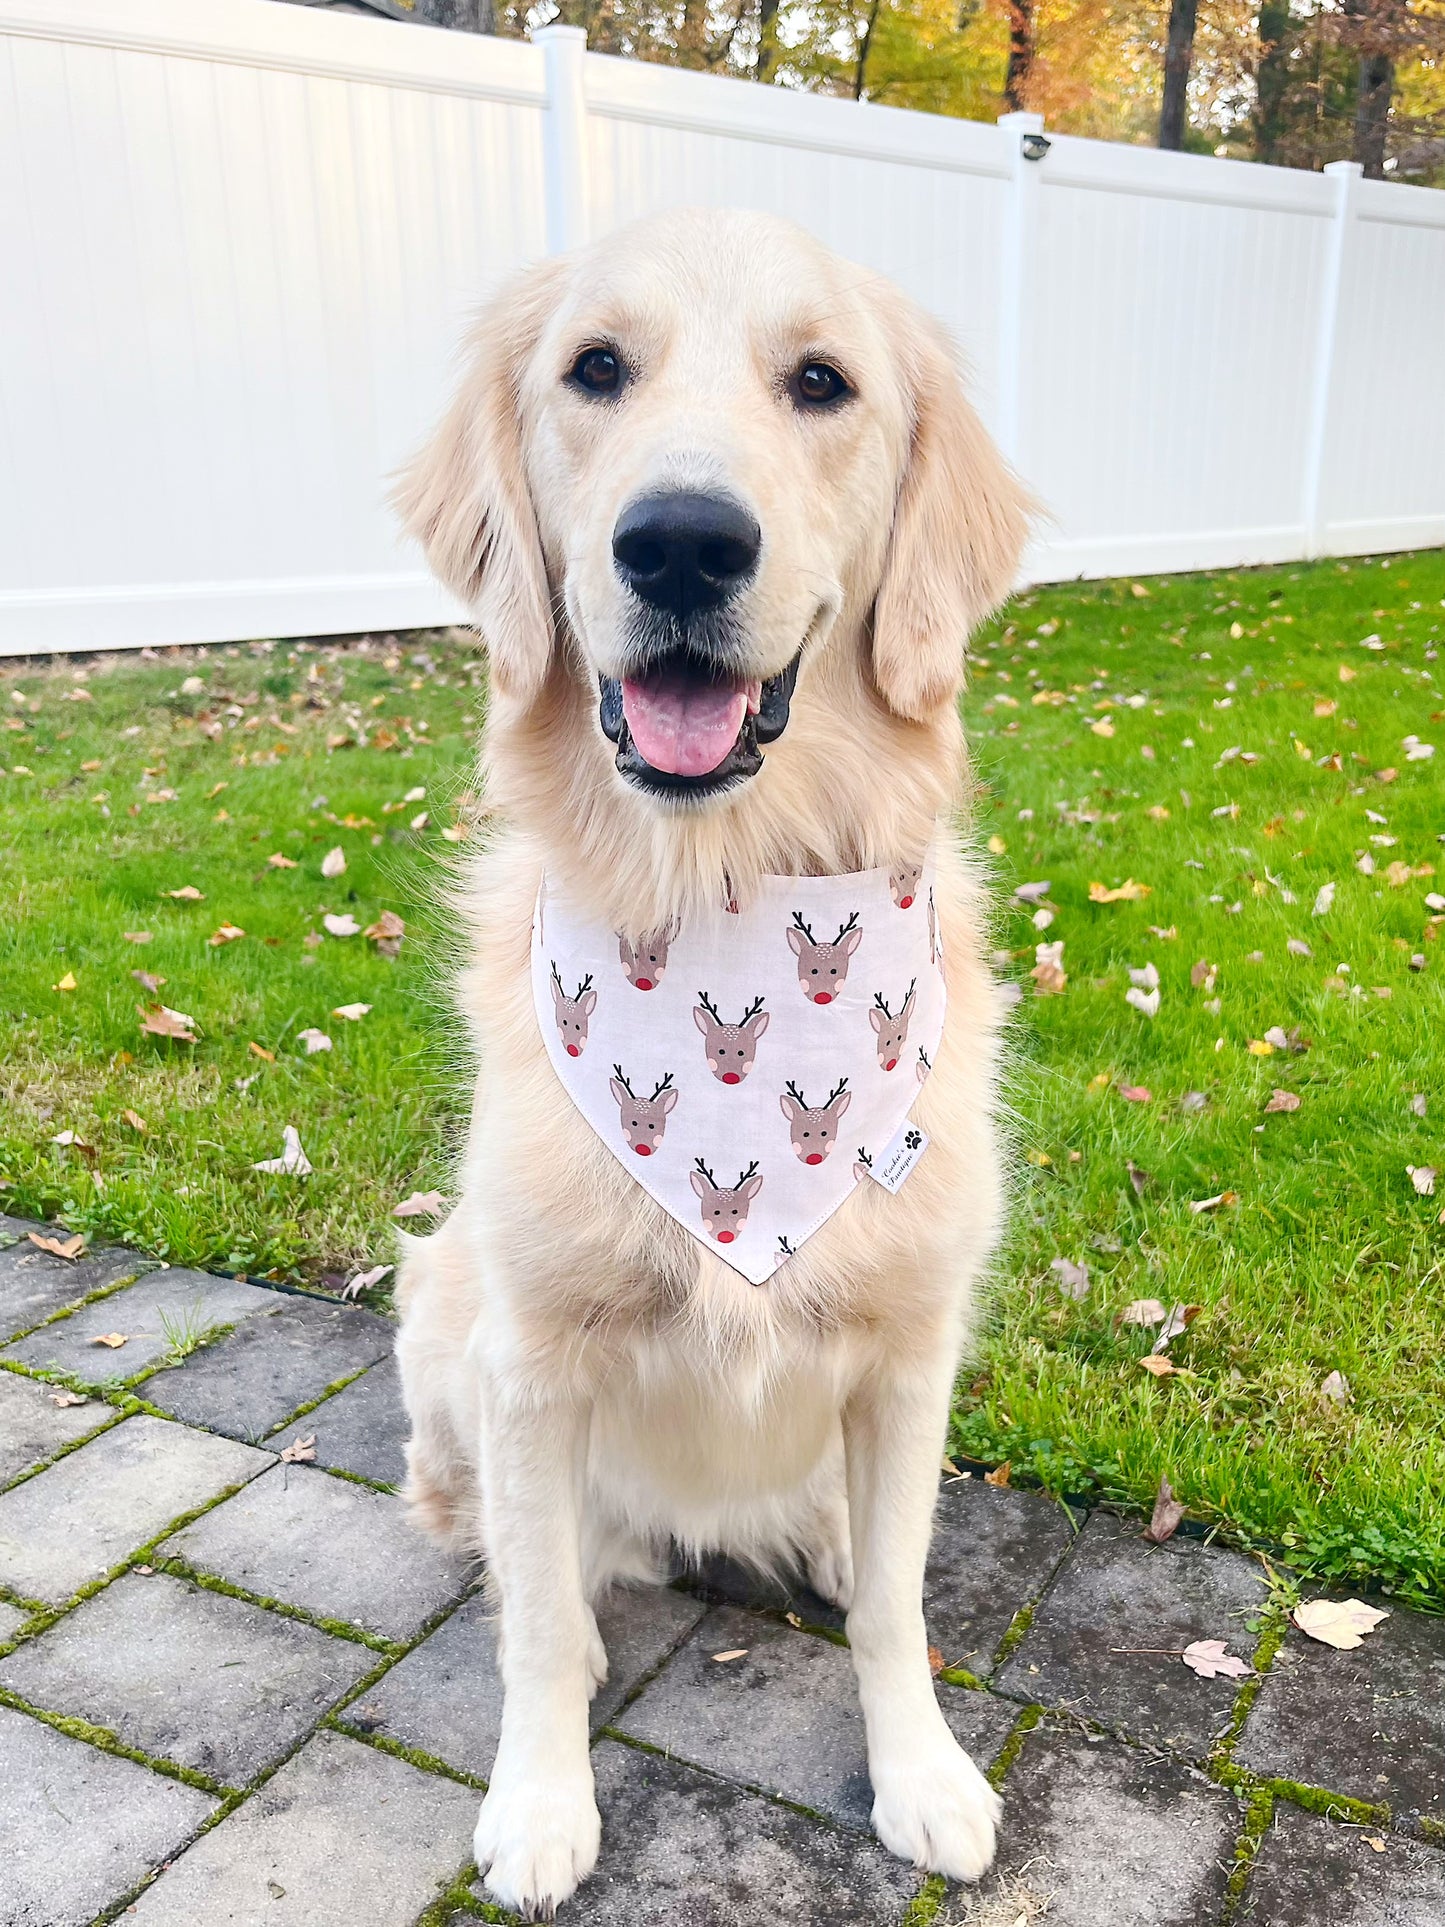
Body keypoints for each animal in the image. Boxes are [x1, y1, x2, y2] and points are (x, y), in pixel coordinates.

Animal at [391, 203, 1032, 1919]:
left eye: (822, 382)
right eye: (594, 368)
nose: (681, 541)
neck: (722, 891)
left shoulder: (912, 1346)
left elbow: (897, 1606)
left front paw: (920, 1768)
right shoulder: (531, 1356)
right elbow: (538, 1624)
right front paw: (542, 1797)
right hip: (441, 1302)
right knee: (506, 1536)